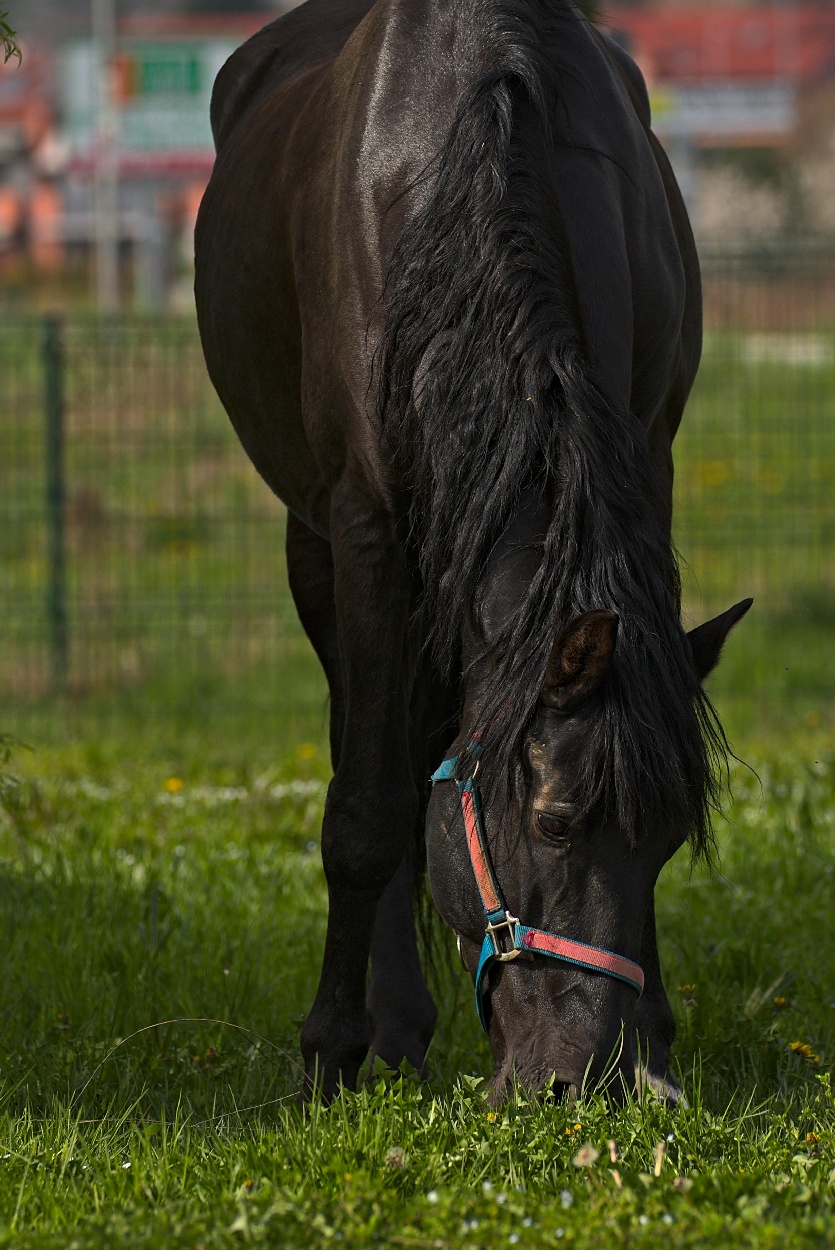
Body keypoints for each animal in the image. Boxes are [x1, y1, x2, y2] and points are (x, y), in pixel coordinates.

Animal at [195, 0, 751, 1102]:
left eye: (669, 836)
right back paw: (394, 1026)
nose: (583, 1079)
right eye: (552, 822)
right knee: (376, 752)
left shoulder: (646, 462)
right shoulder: (367, 525)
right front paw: (331, 1044)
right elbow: (369, 806)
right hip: (318, 551)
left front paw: (657, 1043)